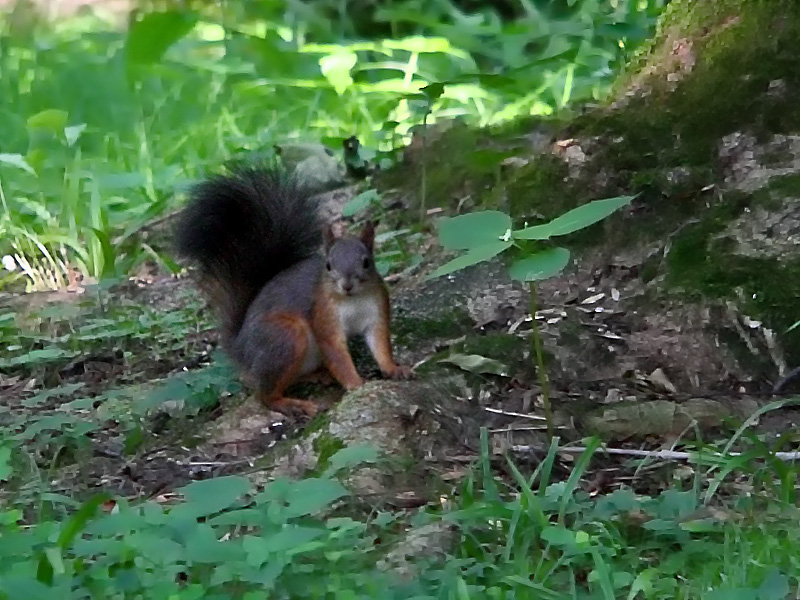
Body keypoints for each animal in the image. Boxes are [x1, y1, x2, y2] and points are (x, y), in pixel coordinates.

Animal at [175, 164, 412, 418]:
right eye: (328, 265)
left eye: (367, 262)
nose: (347, 285)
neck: (352, 300)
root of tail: (241, 349)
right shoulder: (324, 316)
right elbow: (336, 353)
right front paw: (356, 384)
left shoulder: (377, 310)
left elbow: (380, 344)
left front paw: (394, 369)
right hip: (285, 338)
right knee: (265, 396)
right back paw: (293, 404)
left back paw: (319, 376)